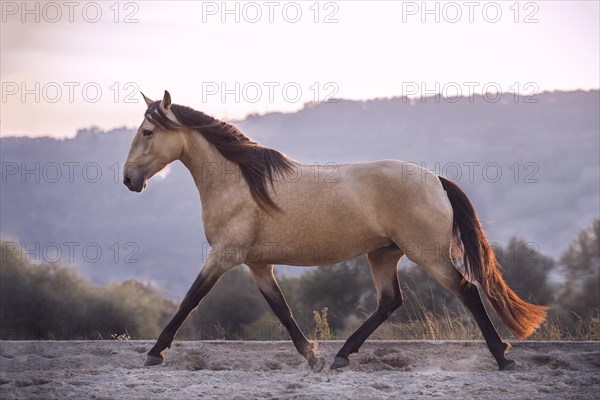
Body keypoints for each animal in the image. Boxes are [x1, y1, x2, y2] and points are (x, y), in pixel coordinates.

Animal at [122, 90, 548, 372]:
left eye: (147, 132)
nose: (128, 179)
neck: (241, 182)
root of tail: (436, 180)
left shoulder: (224, 256)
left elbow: (190, 299)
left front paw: (155, 352)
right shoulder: (257, 265)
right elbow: (281, 308)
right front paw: (311, 354)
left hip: (426, 254)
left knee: (467, 291)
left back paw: (502, 356)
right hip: (383, 254)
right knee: (390, 301)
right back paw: (343, 354)